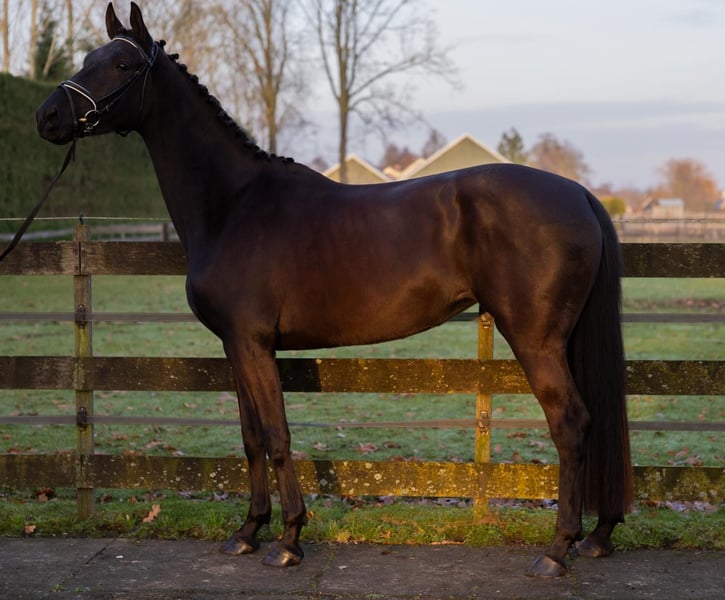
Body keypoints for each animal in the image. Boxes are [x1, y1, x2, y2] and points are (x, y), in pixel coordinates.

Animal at [35, 2, 632, 578]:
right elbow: (251, 437)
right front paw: (248, 532)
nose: (48, 116)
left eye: (122, 64)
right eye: (88, 56)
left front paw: (289, 541)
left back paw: (557, 549)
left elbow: (277, 435)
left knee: (571, 424)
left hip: (535, 340)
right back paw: (598, 536)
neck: (234, 204)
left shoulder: (253, 343)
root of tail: (579, 193)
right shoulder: (235, 345)